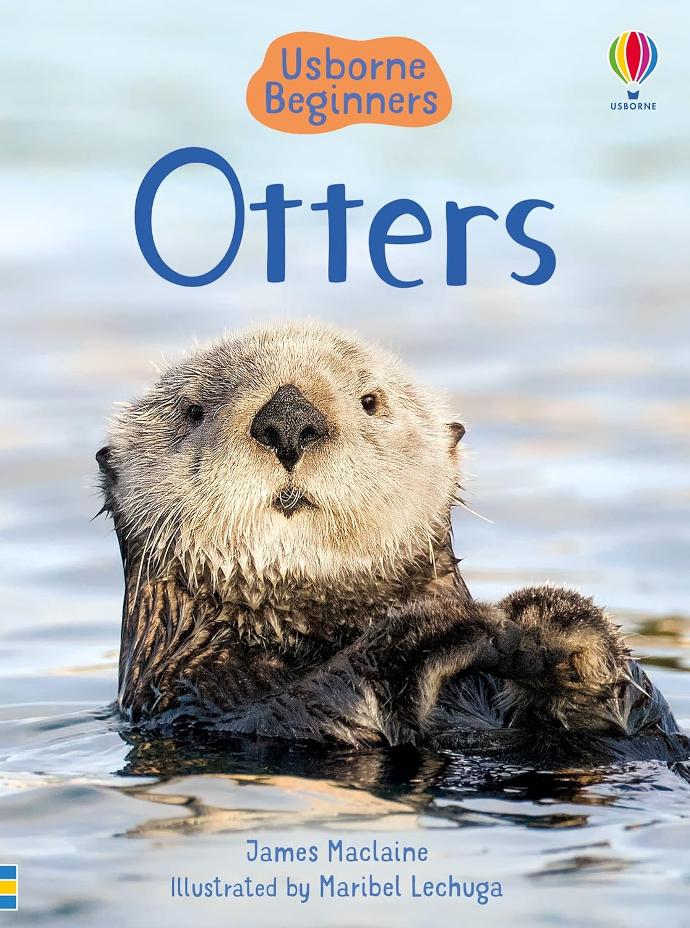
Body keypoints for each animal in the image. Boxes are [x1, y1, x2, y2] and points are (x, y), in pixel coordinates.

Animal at [97, 322, 686, 761]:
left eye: (370, 401)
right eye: (194, 411)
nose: (288, 421)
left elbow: (645, 719)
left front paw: (556, 624)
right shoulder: (190, 701)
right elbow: (292, 713)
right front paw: (441, 630)